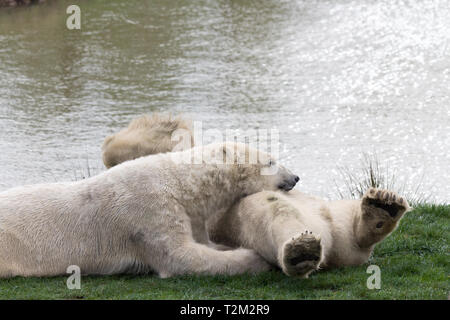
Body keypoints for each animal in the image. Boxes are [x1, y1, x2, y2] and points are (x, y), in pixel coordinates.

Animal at [0, 142, 302, 278]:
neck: (177, 182)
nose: (296, 177)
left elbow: (202, 243)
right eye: (272, 161)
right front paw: (255, 258)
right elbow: (181, 257)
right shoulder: (148, 211)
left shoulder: (189, 213)